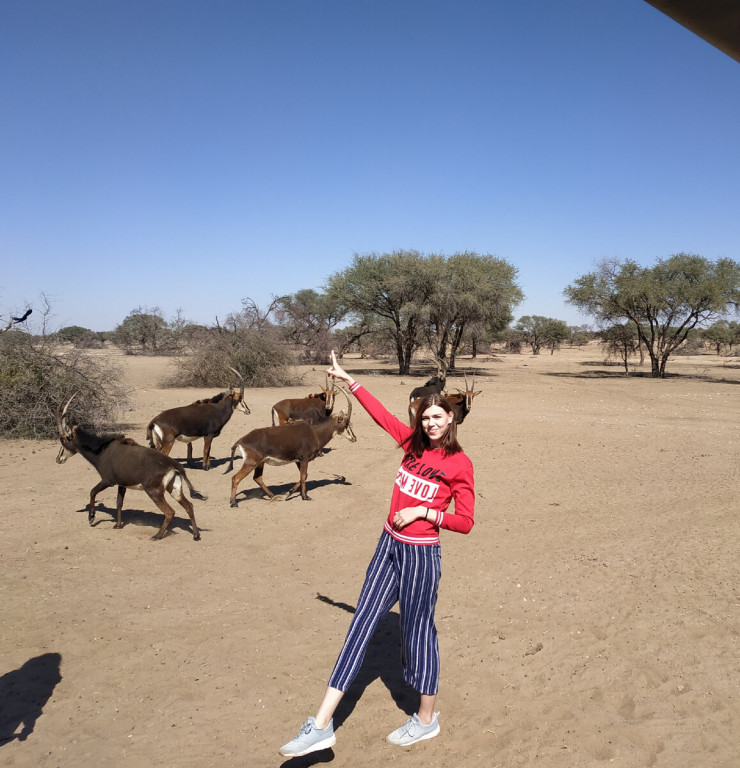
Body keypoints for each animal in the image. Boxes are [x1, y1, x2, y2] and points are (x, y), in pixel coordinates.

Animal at [55, 394, 205, 541]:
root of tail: (175, 465)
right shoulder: (122, 484)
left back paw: (157, 536)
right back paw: (196, 535)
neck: (102, 449)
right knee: (189, 506)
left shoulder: (108, 481)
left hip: (154, 491)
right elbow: (119, 503)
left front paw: (91, 517)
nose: (58, 459)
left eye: (63, 440)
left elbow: (92, 492)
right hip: (174, 488)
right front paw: (117, 525)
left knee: (170, 512)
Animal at [226, 387, 356, 507]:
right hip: (251, 463)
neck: (314, 433)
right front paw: (305, 496)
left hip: (260, 463)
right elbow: (303, 476)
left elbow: (304, 476)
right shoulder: (304, 458)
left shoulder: (298, 460)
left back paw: (272, 495)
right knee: (235, 478)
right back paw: (233, 502)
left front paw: (287, 494)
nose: (354, 438)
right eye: (346, 423)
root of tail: (240, 441)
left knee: (257, 478)